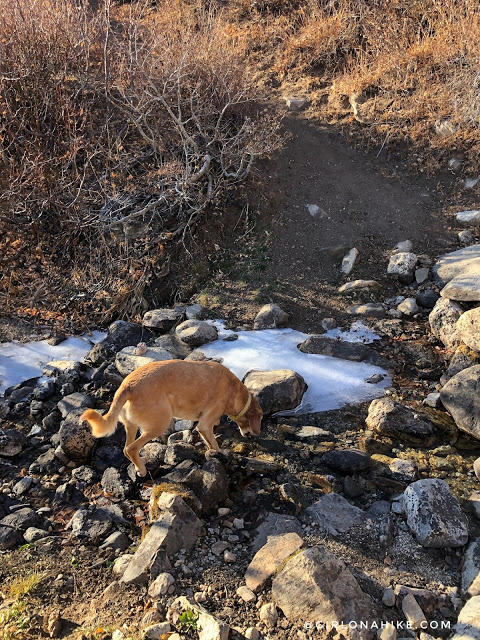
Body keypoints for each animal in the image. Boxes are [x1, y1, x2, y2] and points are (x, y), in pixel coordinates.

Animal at [79, 360, 262, 476]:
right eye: (259, 418)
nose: (255, 434)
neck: (234, 391)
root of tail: (127, 386)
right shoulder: (204, 425)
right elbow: (213, 444)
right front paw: (219, 453)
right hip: (159, 423)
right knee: (131, 448)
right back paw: (143, 470)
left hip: (131, 426)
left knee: (126, 448)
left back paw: (139, 465)